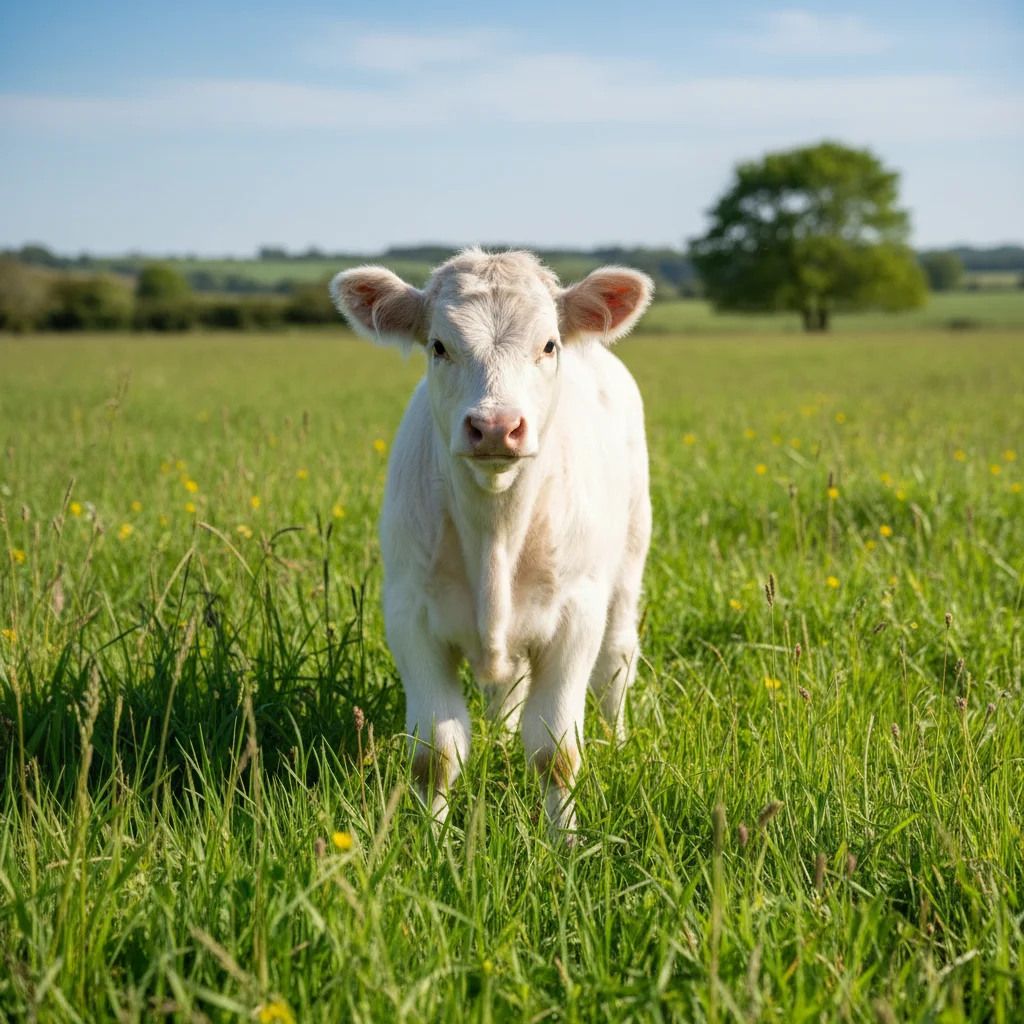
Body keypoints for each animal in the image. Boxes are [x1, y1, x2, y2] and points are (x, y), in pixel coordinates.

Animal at [330, 248, 652, 840]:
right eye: (438, 345)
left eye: (548, 345)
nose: (497, 426)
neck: (495, 537)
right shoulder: (410, 615)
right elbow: (435, 752)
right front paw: (431, 843)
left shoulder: (576, 617)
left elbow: (556, 751)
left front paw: (565, 843)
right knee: (508, 689)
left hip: (628, 563)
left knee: (616, 665)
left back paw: (618, 742)